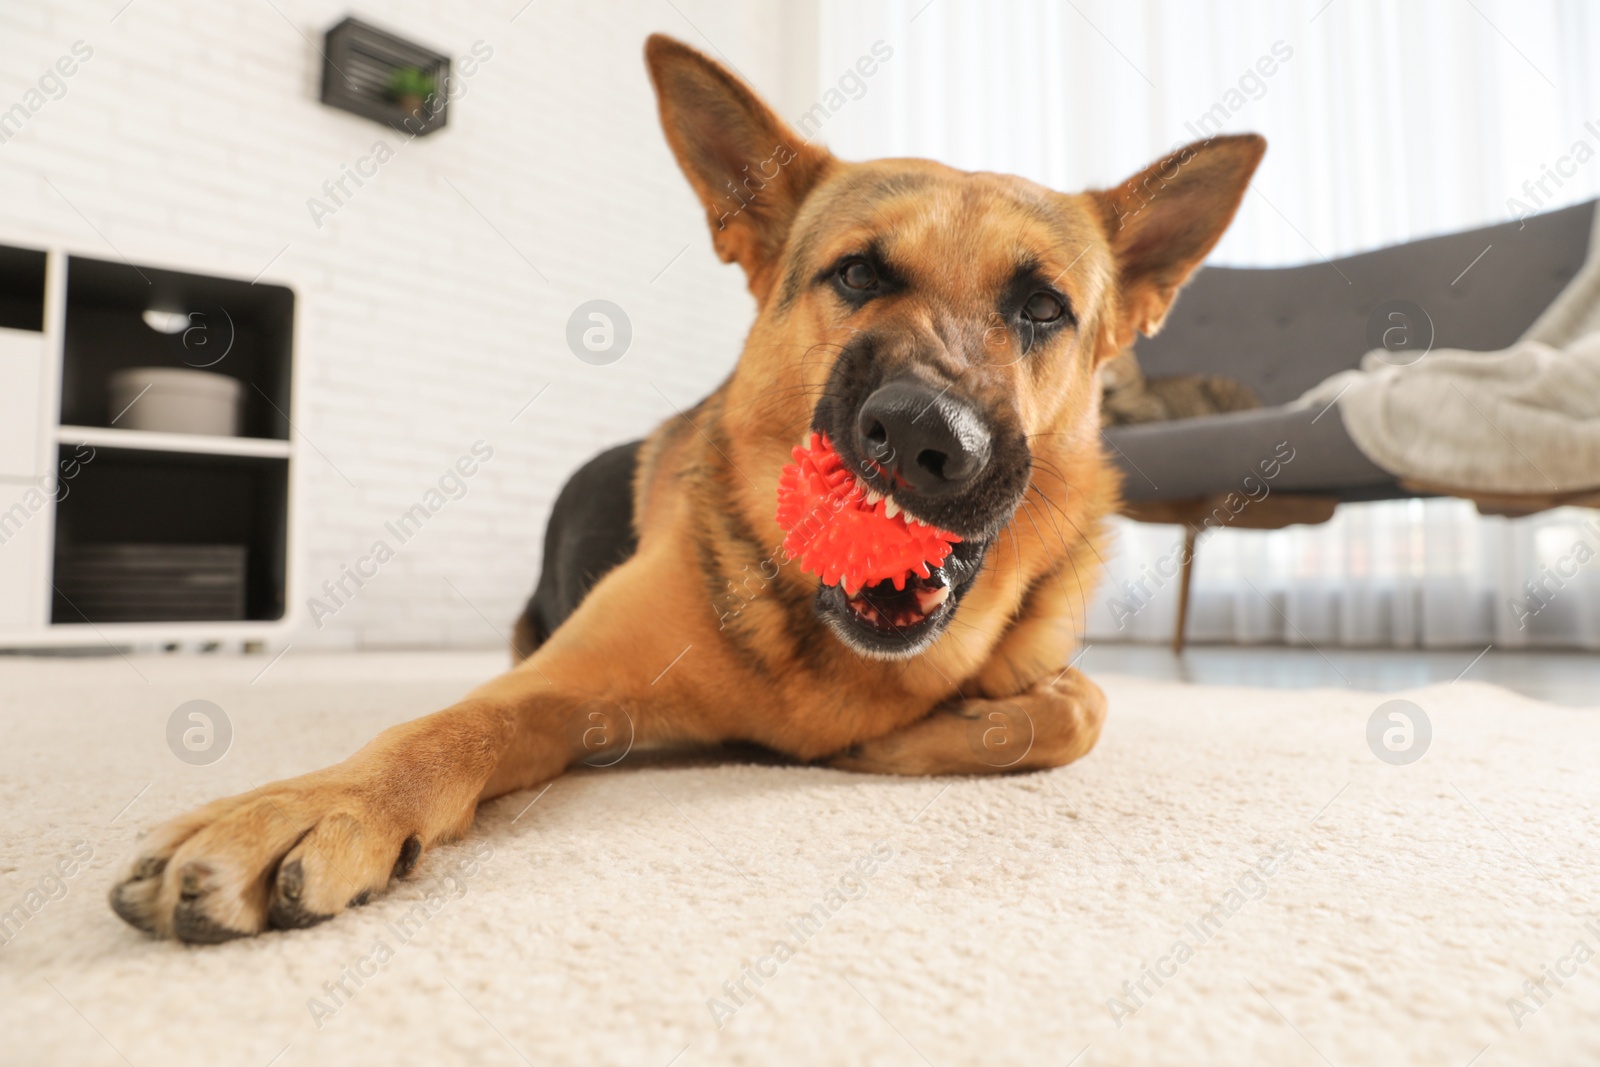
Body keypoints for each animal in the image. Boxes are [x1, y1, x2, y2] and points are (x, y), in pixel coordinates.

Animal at [109, 35, 1260, 940]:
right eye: (857, 275)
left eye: (1042, 308)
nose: (926, 436)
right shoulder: (556, 689)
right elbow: (445, 729)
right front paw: (316, 803)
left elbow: (1078, 706)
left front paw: (906, 735)